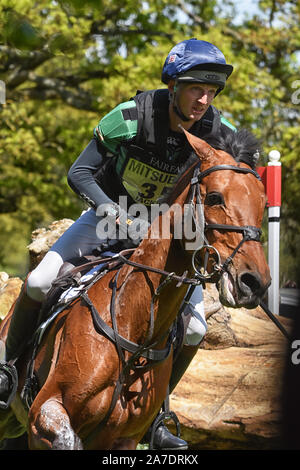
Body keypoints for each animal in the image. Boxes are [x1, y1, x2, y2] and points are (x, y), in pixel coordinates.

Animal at [0, 126, 272, 450]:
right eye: (216, 197)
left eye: (263, 203)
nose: (255, 282)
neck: (134, 324)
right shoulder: (46, 410)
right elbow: (67, 437)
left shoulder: (124, 438)